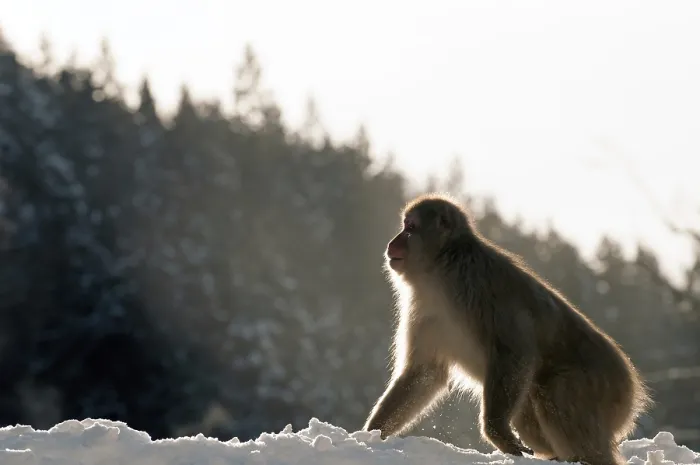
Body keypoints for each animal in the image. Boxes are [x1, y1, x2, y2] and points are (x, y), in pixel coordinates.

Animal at [362, 193, 651, 465]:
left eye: (410, 228)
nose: (392, 242)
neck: (441, 269)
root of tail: (632, 390)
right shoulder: (424, 310)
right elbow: (425, 373)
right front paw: (371, 434)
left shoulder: (477, 287)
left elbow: (515, 352)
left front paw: (496, 431)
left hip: (597, 386)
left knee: (556, 398)